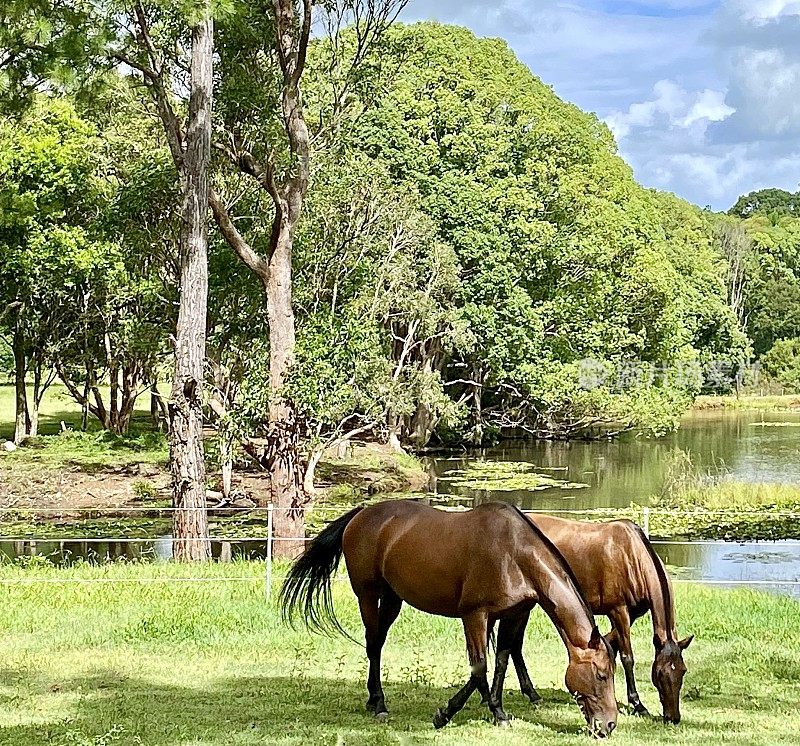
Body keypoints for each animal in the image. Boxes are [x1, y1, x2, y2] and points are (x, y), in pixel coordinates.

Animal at [282, 496, 620, 736]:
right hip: (367, 594)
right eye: (602, 675)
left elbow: (500, 662)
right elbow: (479, 667)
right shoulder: (475, 615)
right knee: (373, 645)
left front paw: (497, 710)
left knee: (377, 642)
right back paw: (378, 702)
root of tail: (362, 514)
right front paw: (446, 713)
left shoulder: (512, 615)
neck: (514, 553)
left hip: (392, 599)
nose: (609, 725)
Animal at [500, 516, 692, 724]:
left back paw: (531, 693)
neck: (631, 554)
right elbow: (627, 658)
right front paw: (637, 704)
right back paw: (531, 693)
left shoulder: (631, 614)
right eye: (660, 673)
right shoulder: (618, 611)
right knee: (515, 645)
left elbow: (611, 646)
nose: (673, 717)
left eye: (683, 671)